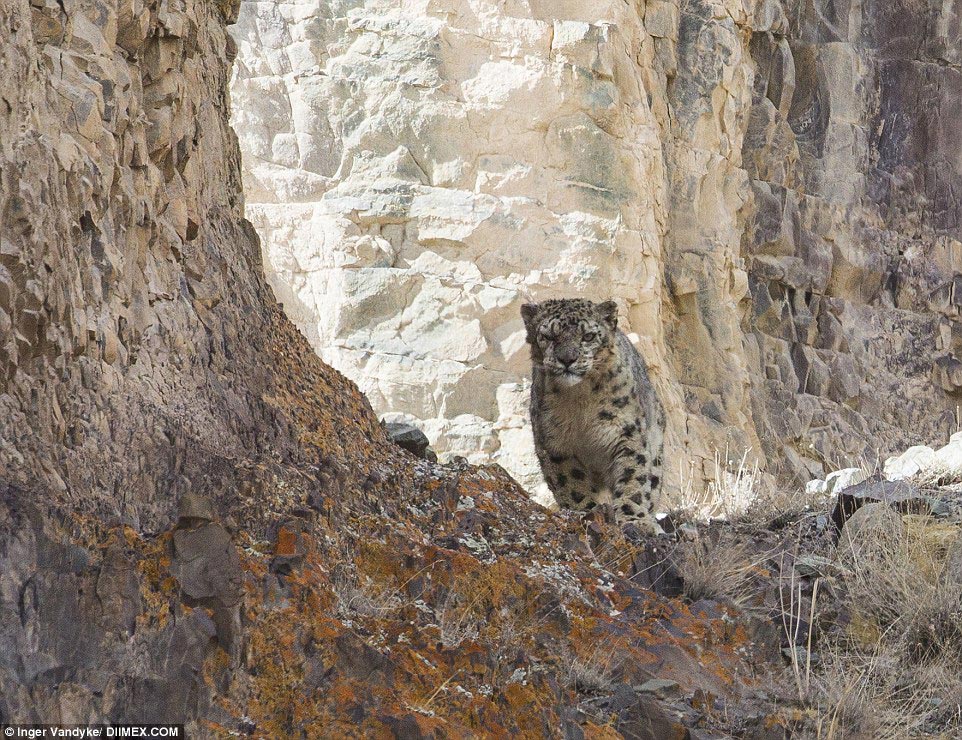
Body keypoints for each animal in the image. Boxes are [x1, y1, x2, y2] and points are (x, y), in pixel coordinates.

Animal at [520, 296, 664, 532]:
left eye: (588, 336)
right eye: (549, 336)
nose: (567, 359)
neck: (580, 400)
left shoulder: (627, 433)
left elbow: (632, 476)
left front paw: (635, 520)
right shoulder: (554, 442)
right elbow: (571, 483)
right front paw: (586, 512)